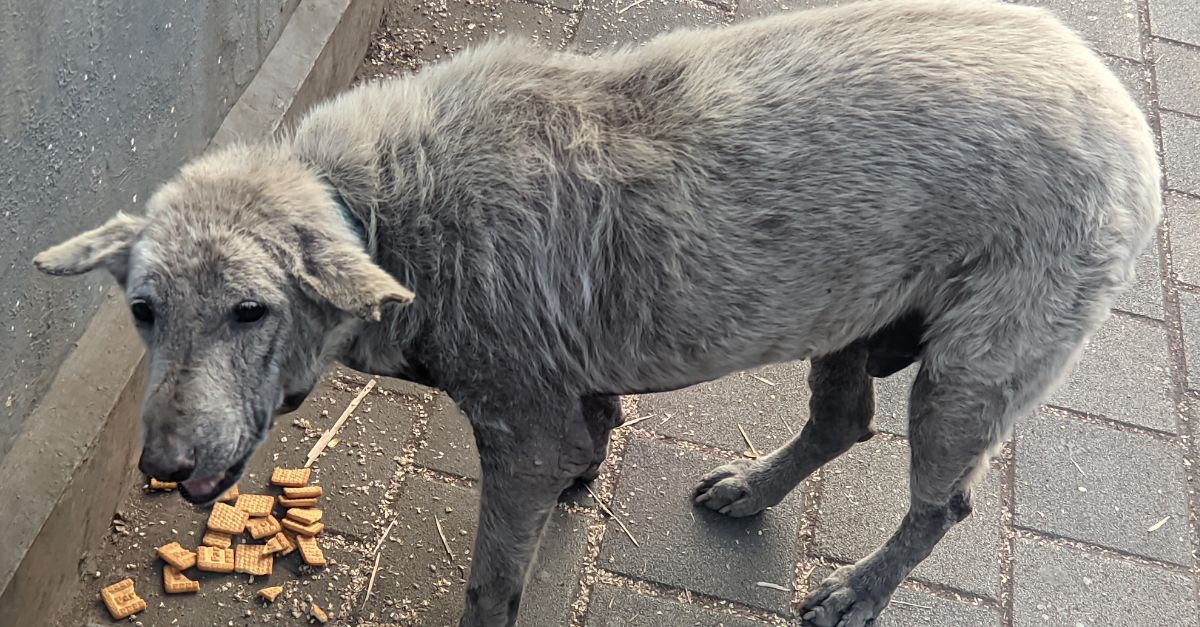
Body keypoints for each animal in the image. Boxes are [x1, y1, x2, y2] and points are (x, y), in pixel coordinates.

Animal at [35, 2, 1161, 619]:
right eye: (143, 310)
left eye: (250, 311)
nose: (163, 466)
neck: (388, 207)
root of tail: (1121, 107)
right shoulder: (564, 398)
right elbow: (595, 429)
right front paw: (591, 474)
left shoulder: (516, 434)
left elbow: (492, 583)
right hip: (849, 313)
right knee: (842, 421)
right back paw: (752, 490)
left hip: (974, 374)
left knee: (943, 503)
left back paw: (859, 592)